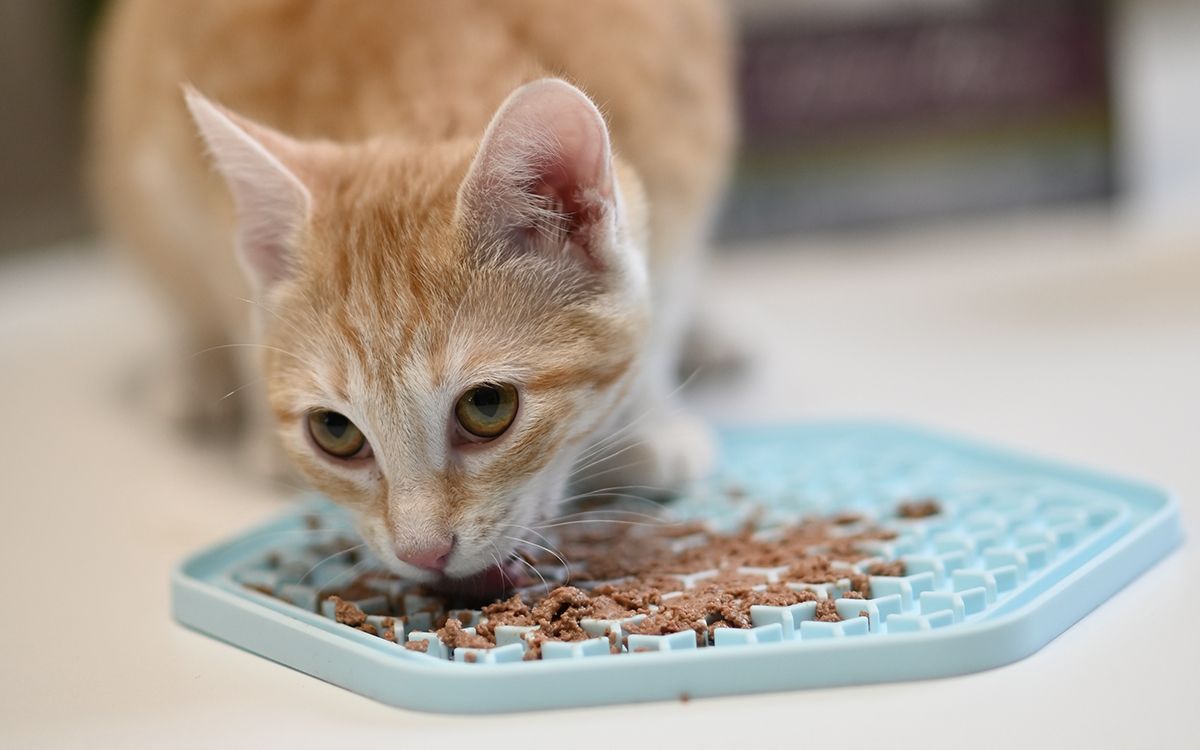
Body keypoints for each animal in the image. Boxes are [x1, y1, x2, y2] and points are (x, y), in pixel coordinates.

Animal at [91, 0, 729, 585]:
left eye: (487, 407)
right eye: (335, 431)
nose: (423, 554)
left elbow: (666, 296)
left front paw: (650, 423)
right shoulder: (172, 168)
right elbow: (226, 293)